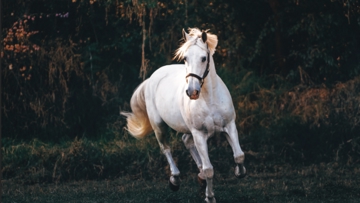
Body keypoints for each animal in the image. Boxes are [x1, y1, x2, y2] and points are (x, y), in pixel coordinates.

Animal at [122, 27, 246, 202]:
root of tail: (152, 77)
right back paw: (175, 180)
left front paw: (238, 172)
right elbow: (209, 169)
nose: (192, 92)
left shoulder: (229, 126)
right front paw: (210, 197)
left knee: (186, 141)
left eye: (203, 58)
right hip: (159, 126)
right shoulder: (199, 134)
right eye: (185, 58)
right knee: (166, 148)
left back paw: (199, 177)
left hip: (187, 129)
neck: (210, 99)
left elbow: (239, 156)